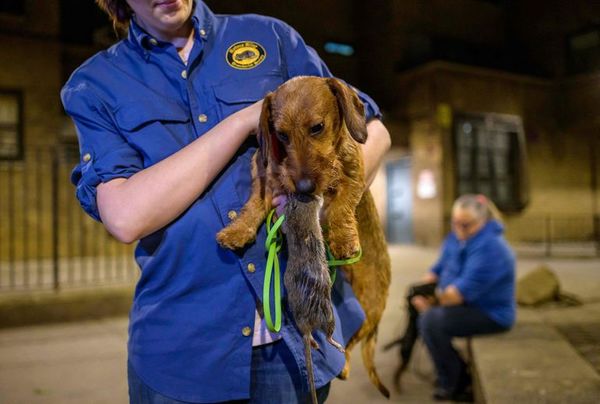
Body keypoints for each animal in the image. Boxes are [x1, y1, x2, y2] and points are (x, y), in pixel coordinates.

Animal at [218, 76, 392, 398]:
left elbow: (342, 204)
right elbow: (254, 204)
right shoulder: (268, 179)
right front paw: (238, 230)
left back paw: (345, 365)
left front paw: (343, 239)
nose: (303, 187)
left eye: (317, 127)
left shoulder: (353, 176)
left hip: (369, 308)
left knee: (353, 341)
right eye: (281, 135)